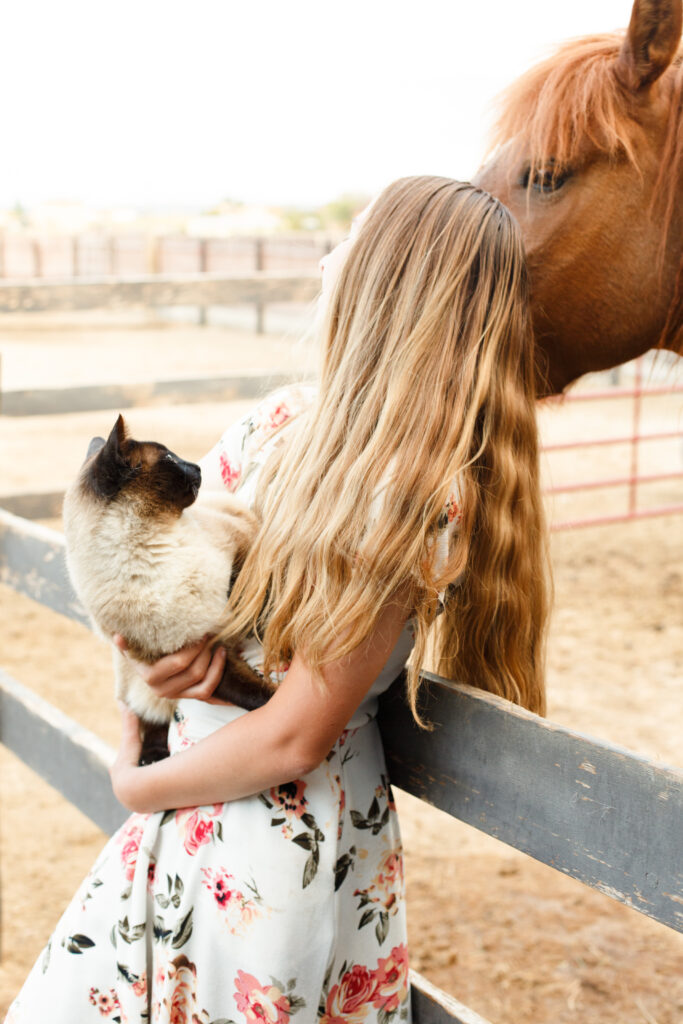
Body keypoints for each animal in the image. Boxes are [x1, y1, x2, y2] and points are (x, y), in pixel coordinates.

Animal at [62, 415, 276, 761]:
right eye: (170, 459)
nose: (198, 468)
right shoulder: (204, 655)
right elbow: (258, 697)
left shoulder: (242, 550)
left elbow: (252, 599)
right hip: (138, 688)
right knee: (151, 722)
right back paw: (152, 756)